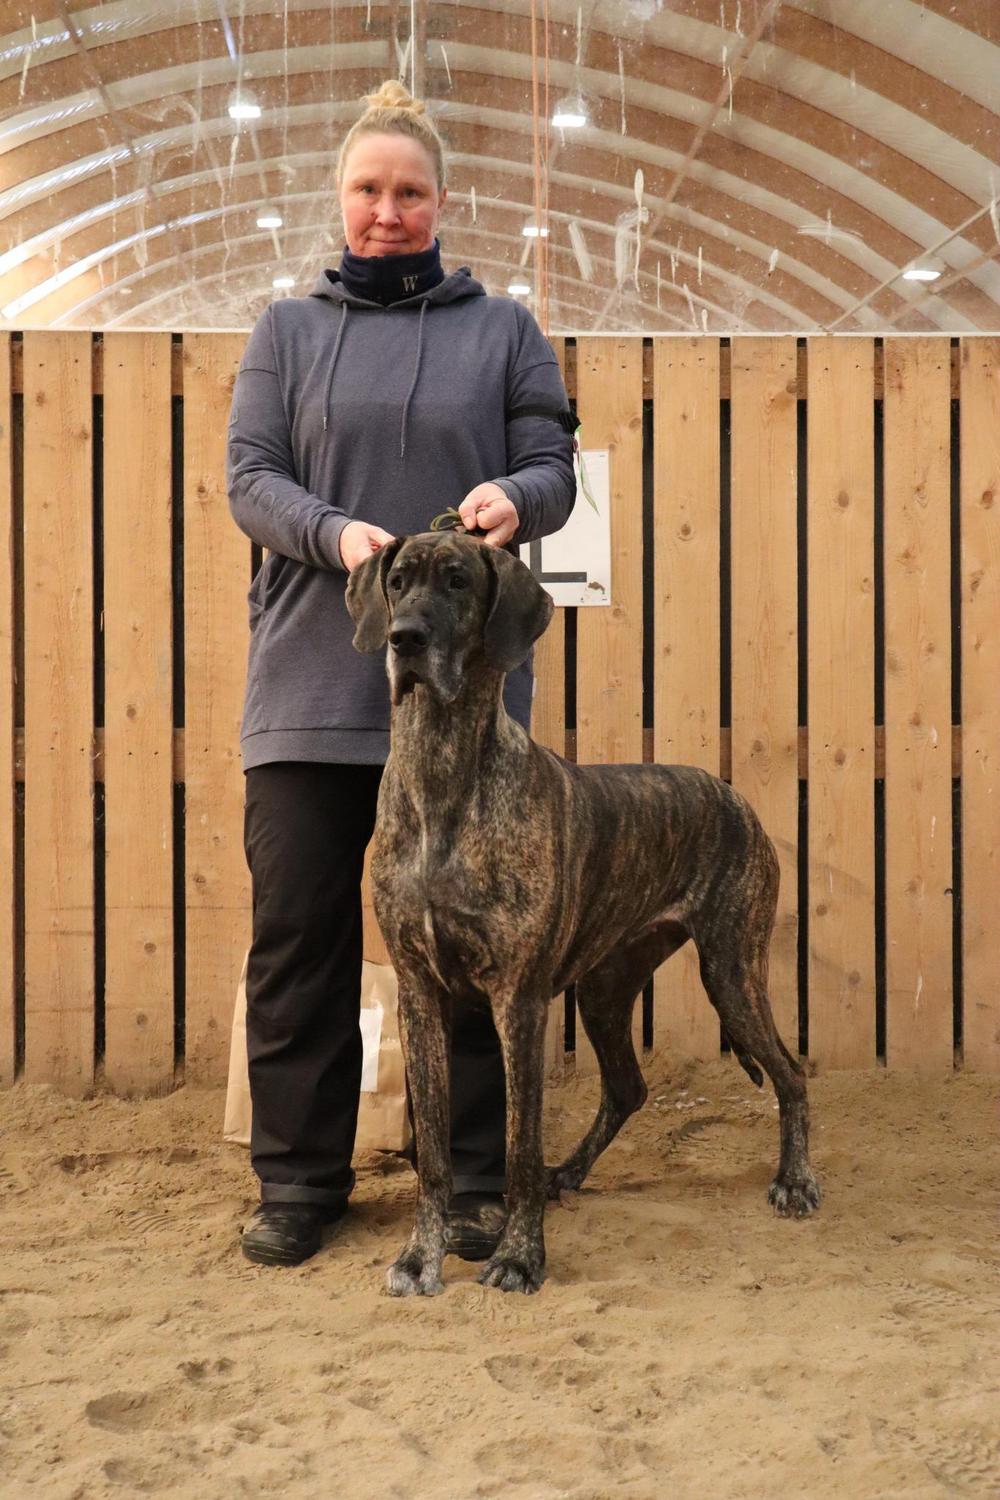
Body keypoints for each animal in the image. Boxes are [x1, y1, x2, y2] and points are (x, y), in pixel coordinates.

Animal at [346, 531, 820, 1296]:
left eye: (457, 580)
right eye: (396, 581)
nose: (404, 638)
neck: (442, 766)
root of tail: (732, 794)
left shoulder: (517, 1001)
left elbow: (516, 1147)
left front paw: (517, 1257)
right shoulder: (419, 992)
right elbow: (437, 1155)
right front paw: (421, 1257)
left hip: (732, 972)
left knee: (790, 1071)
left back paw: (797, 1181)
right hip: (605, 987)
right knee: (628, 1087)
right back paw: (570, 1169)